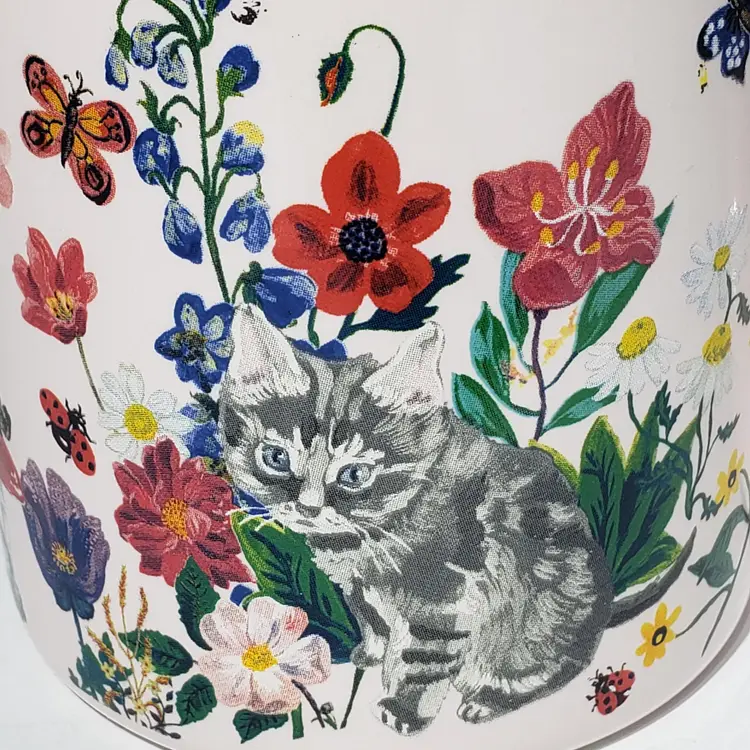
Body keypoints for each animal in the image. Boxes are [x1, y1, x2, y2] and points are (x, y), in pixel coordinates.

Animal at [219, 304, 692, 736]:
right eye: (275, 457)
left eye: (354, 475)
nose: (309, 508)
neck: (375, 533)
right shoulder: (360, 588)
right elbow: (372, 620)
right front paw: (373, 652)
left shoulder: (444, 599)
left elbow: (423, 662)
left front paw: (404, 711)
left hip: (542, 625)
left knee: (549, 668)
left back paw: (486, 699)